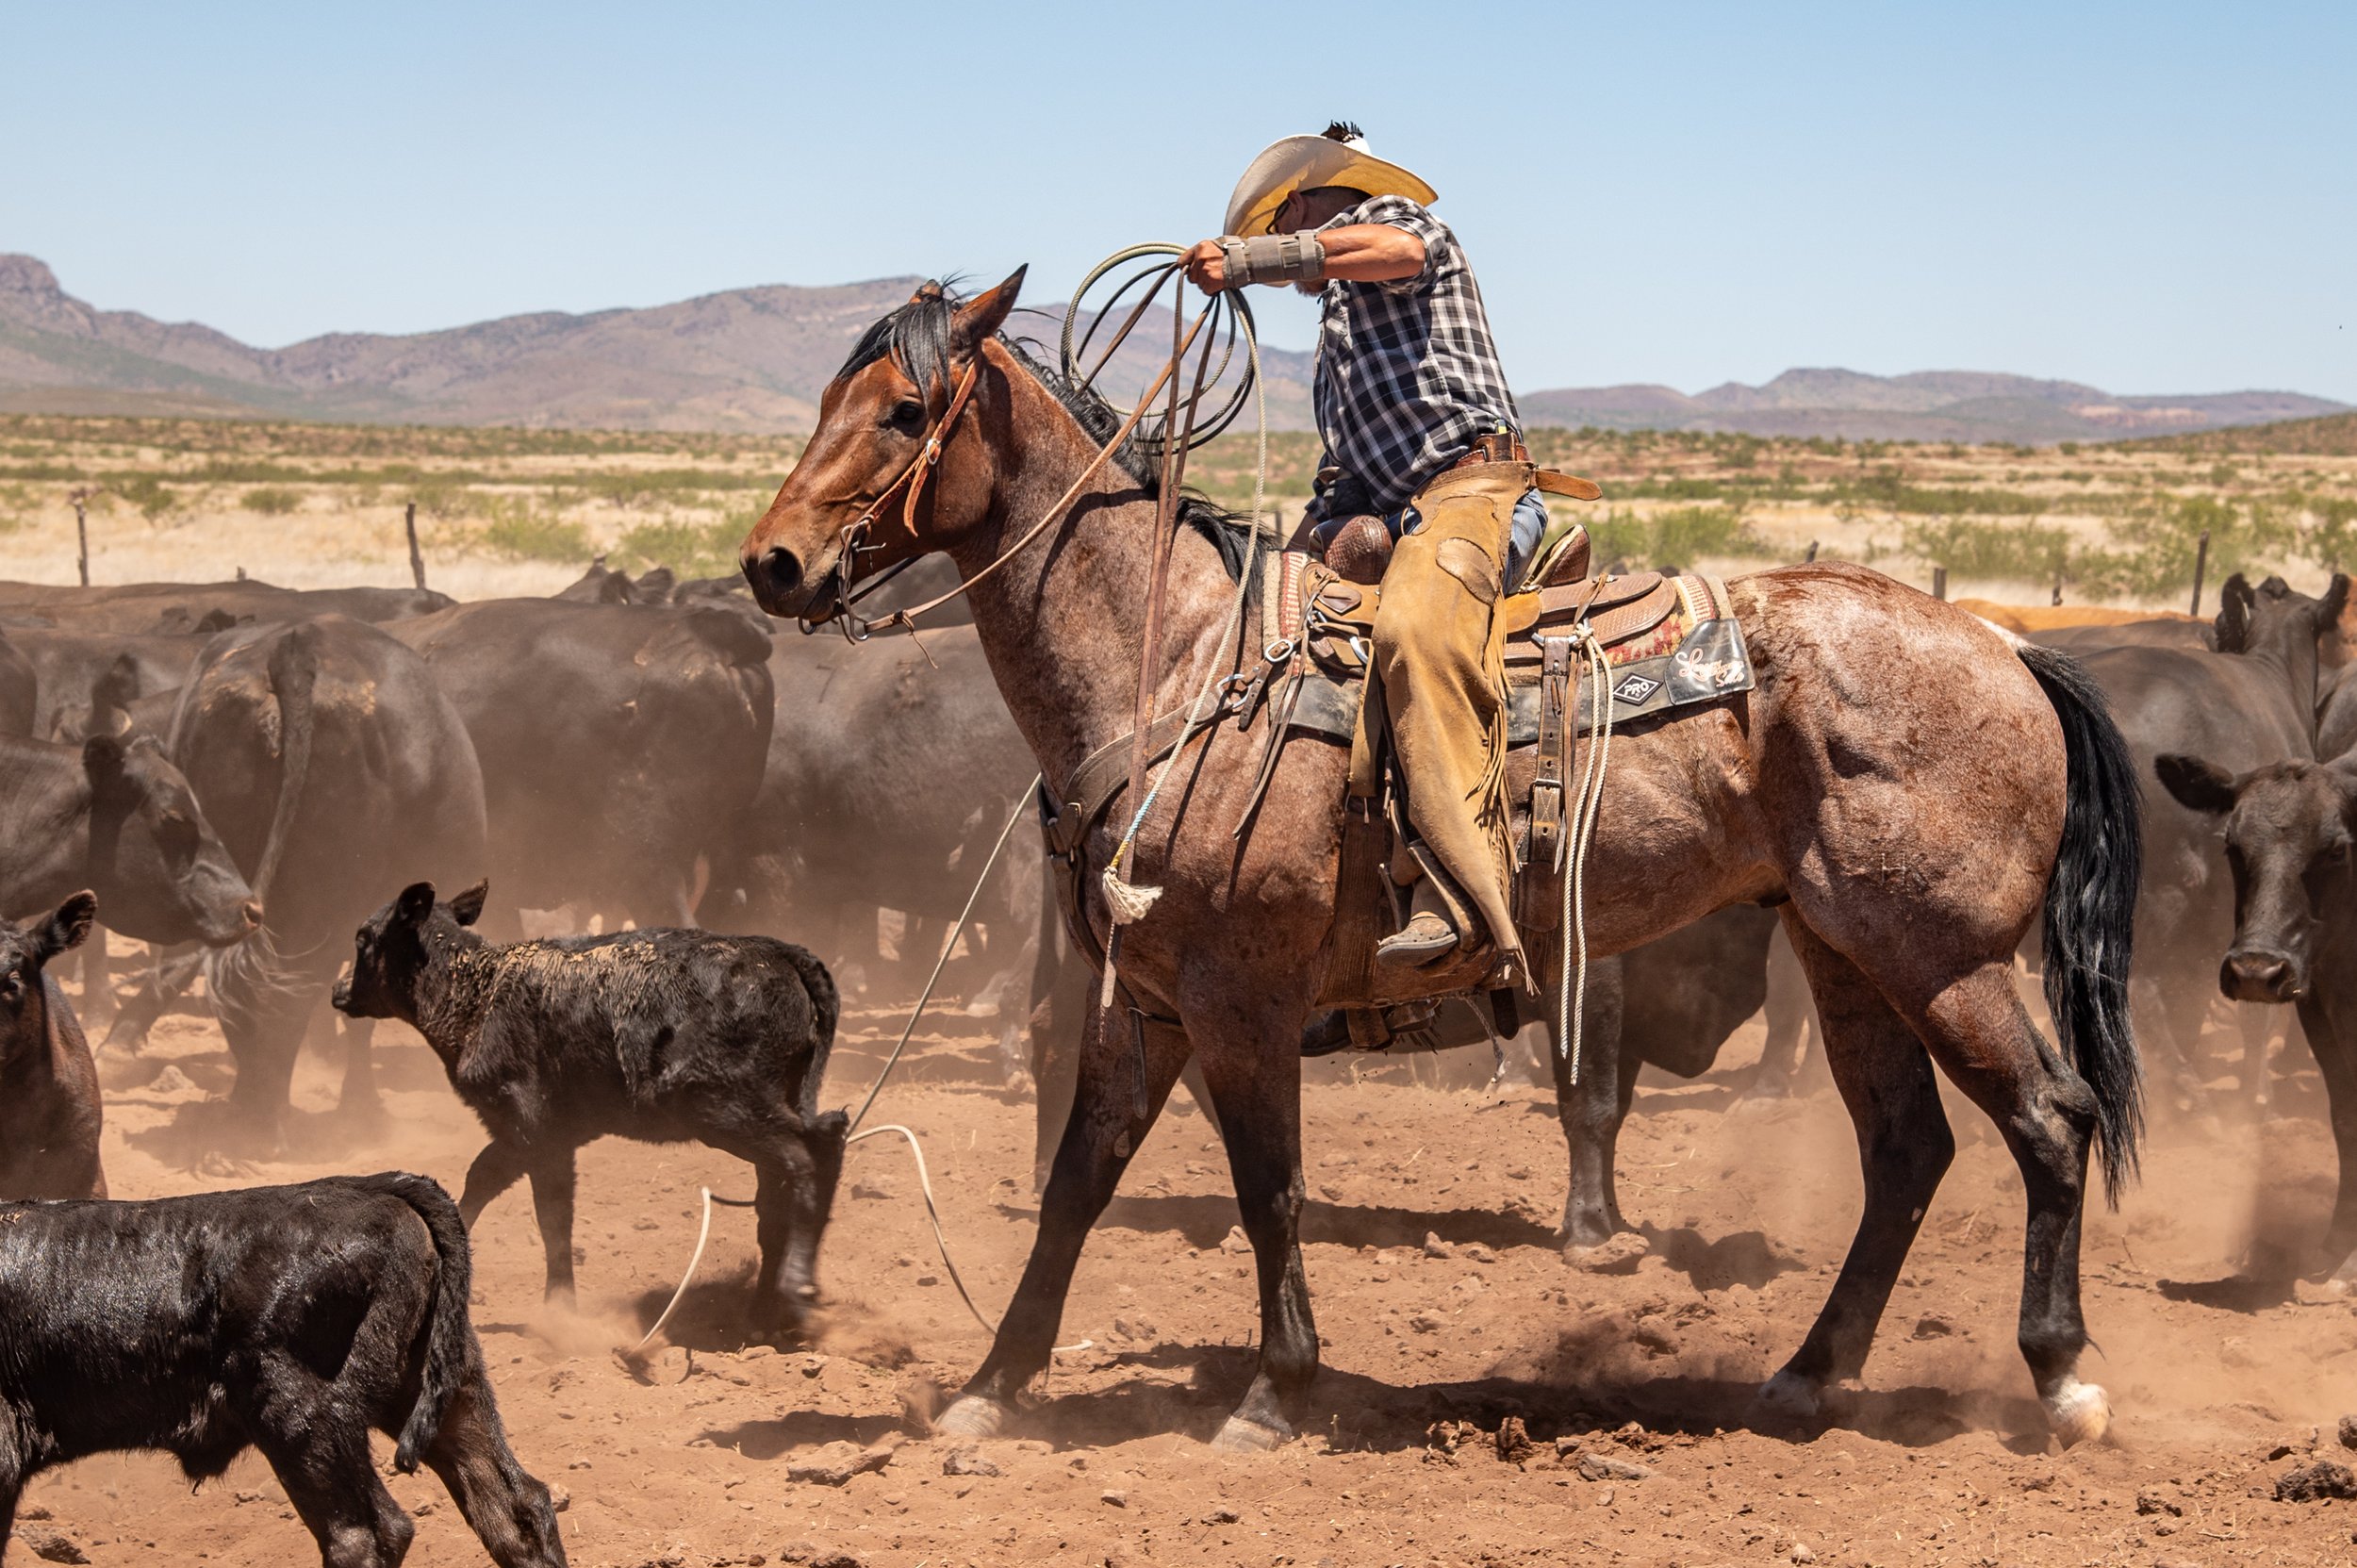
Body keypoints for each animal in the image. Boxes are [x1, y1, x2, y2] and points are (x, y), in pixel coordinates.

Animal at [333, 880, 848, 1340]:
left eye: (363, 938)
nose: (338, 991)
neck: (479, 994)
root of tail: (785, 955)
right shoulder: (535, 1134)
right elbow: (489, 1181)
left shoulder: (533, 1128)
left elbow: (550, 1217)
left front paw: (559, 1314)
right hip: (764, 1103)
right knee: (797, 1174)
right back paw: (764, 1316)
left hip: (724, 1104)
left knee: (807, 1155)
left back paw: (797, 1290)